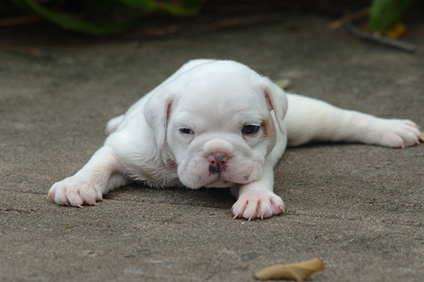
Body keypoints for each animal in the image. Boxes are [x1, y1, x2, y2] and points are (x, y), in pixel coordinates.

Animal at [48, 59, 420, 220]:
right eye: (185, 131)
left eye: (251, 129)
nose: (217, 155)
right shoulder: (125, 150)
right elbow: (100, 163)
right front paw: (77, 184)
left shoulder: (260, 160)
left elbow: (257, 177)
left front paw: (256, 198)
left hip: (305, 119)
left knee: (341, 120)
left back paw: (390, 128)